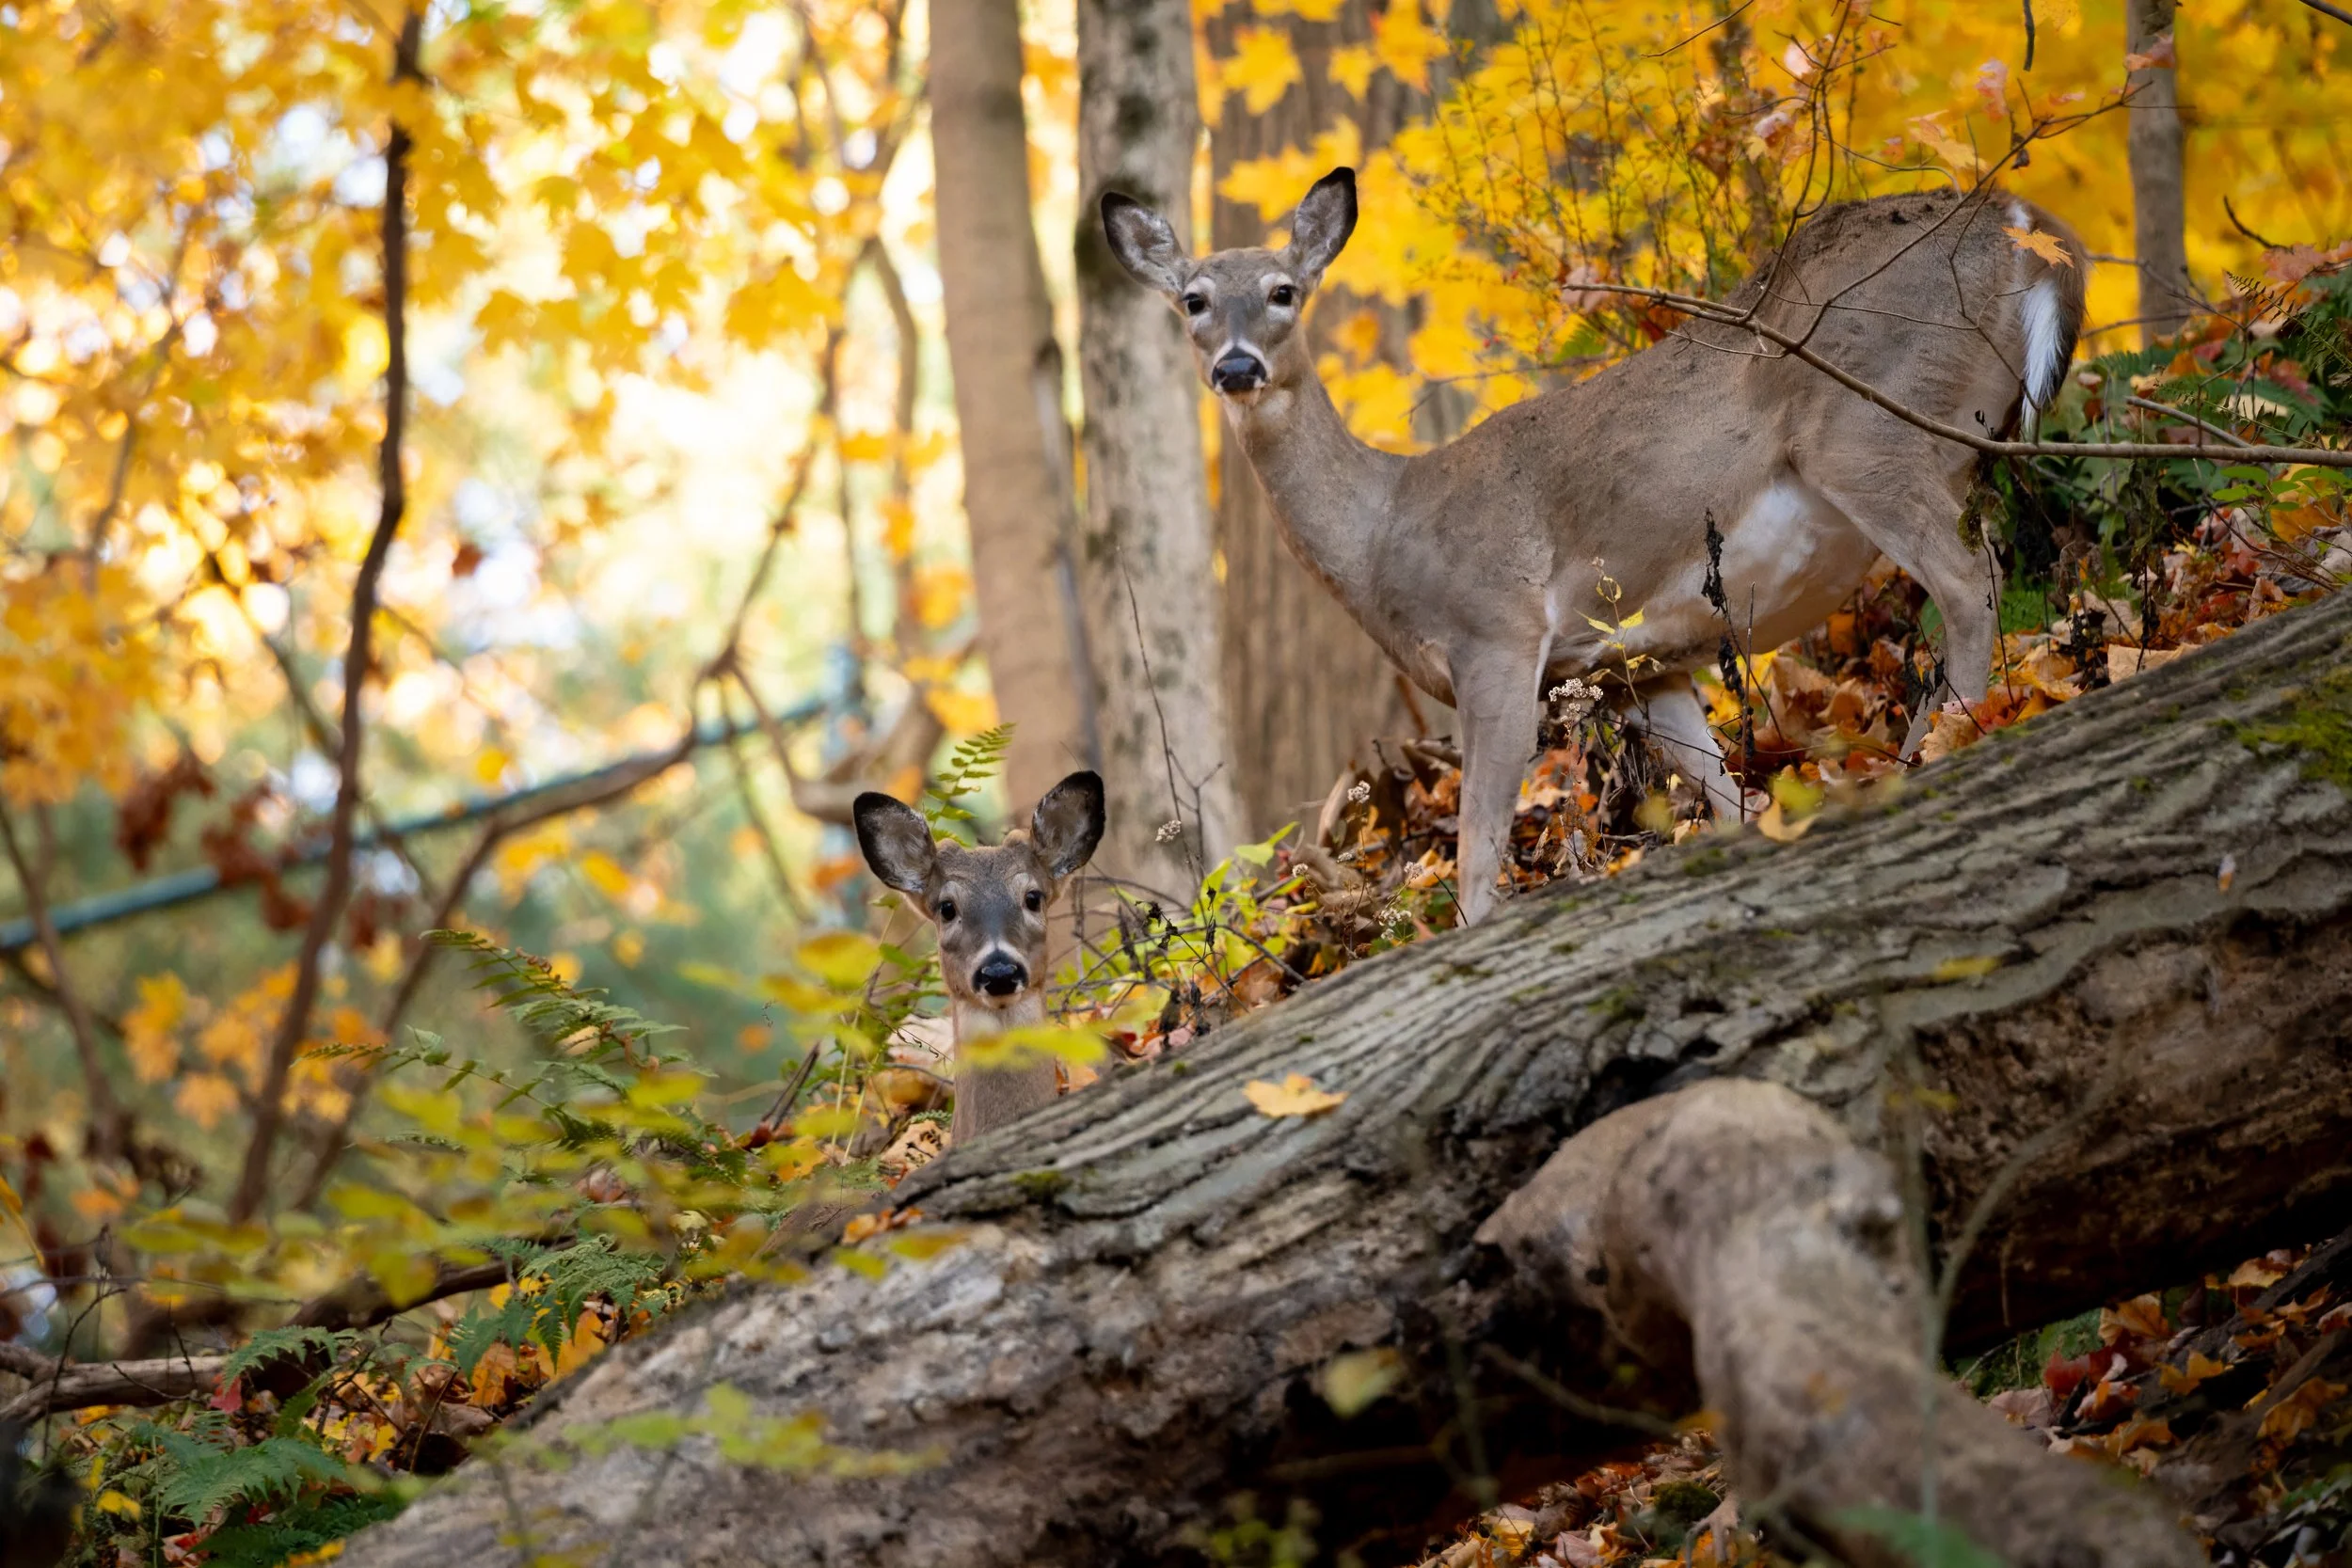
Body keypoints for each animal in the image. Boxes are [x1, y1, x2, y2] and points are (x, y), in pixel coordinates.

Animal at [1101, 169, 2086, 924]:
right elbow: (1727, 794)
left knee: (1970, 584)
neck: (1383, 533)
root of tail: (2024, 226)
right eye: (1193, 300)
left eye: (1282, 291)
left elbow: (1477, 858)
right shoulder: (1633, 666)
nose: (1236, 367)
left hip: (1869, 430)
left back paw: (1934, 750)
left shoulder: (1497, 633)